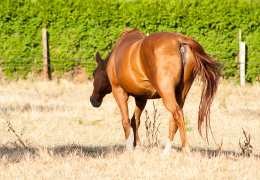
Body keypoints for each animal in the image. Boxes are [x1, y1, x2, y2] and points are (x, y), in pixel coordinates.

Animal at [90, 28, 220, 154]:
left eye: (94, 73)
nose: (93, 100)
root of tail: (180, 41)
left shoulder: (119, 93)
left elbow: (125, 121)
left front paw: (129, 149)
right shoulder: (141, 98)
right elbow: (135, 121)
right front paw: (137, 146)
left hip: (166, 93)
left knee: (177, 114)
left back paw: (185, 149)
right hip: (181, 94)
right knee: (175, 119)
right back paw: (166, 152)